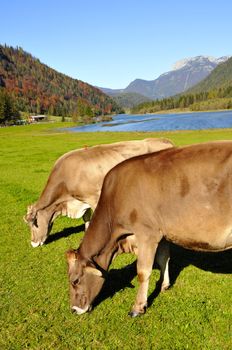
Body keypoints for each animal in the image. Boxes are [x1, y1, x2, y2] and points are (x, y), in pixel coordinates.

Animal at [24, 138, 173, 247]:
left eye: (34, 223)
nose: (33, 243)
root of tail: (164, 140)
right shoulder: (83, 200)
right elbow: (86, 218)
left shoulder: (94, 198)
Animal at [66, 140, 232, 318]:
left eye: (75, 281)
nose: (74, 310)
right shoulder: (162, 234)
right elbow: (164, 258)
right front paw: (164, 285)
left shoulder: (146, 233)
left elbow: (143, 272)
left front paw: (138, 307)